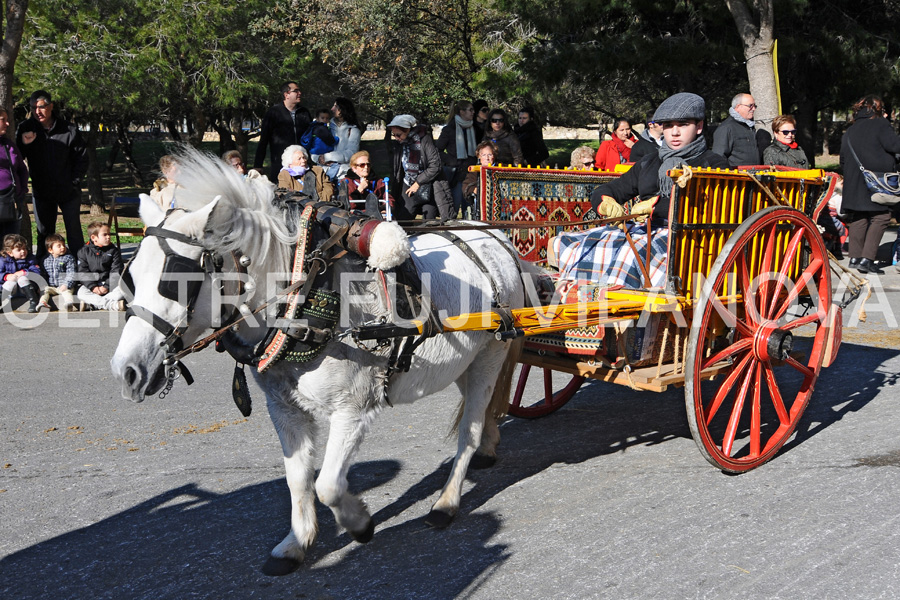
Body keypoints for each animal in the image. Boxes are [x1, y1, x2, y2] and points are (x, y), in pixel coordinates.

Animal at [108, 149, 528, 572]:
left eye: (174, 279)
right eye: (129, 276)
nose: (126, 371)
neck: (303, 296)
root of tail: (496, 237)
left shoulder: (353, 410)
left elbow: (327, 485)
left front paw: (359, 523)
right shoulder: (284, 408)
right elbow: (298, 478)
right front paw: (297, 542)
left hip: (489, 356)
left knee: (469, 429)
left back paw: (447, 501)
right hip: (464, 362)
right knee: (483, 408)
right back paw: (489, 445)